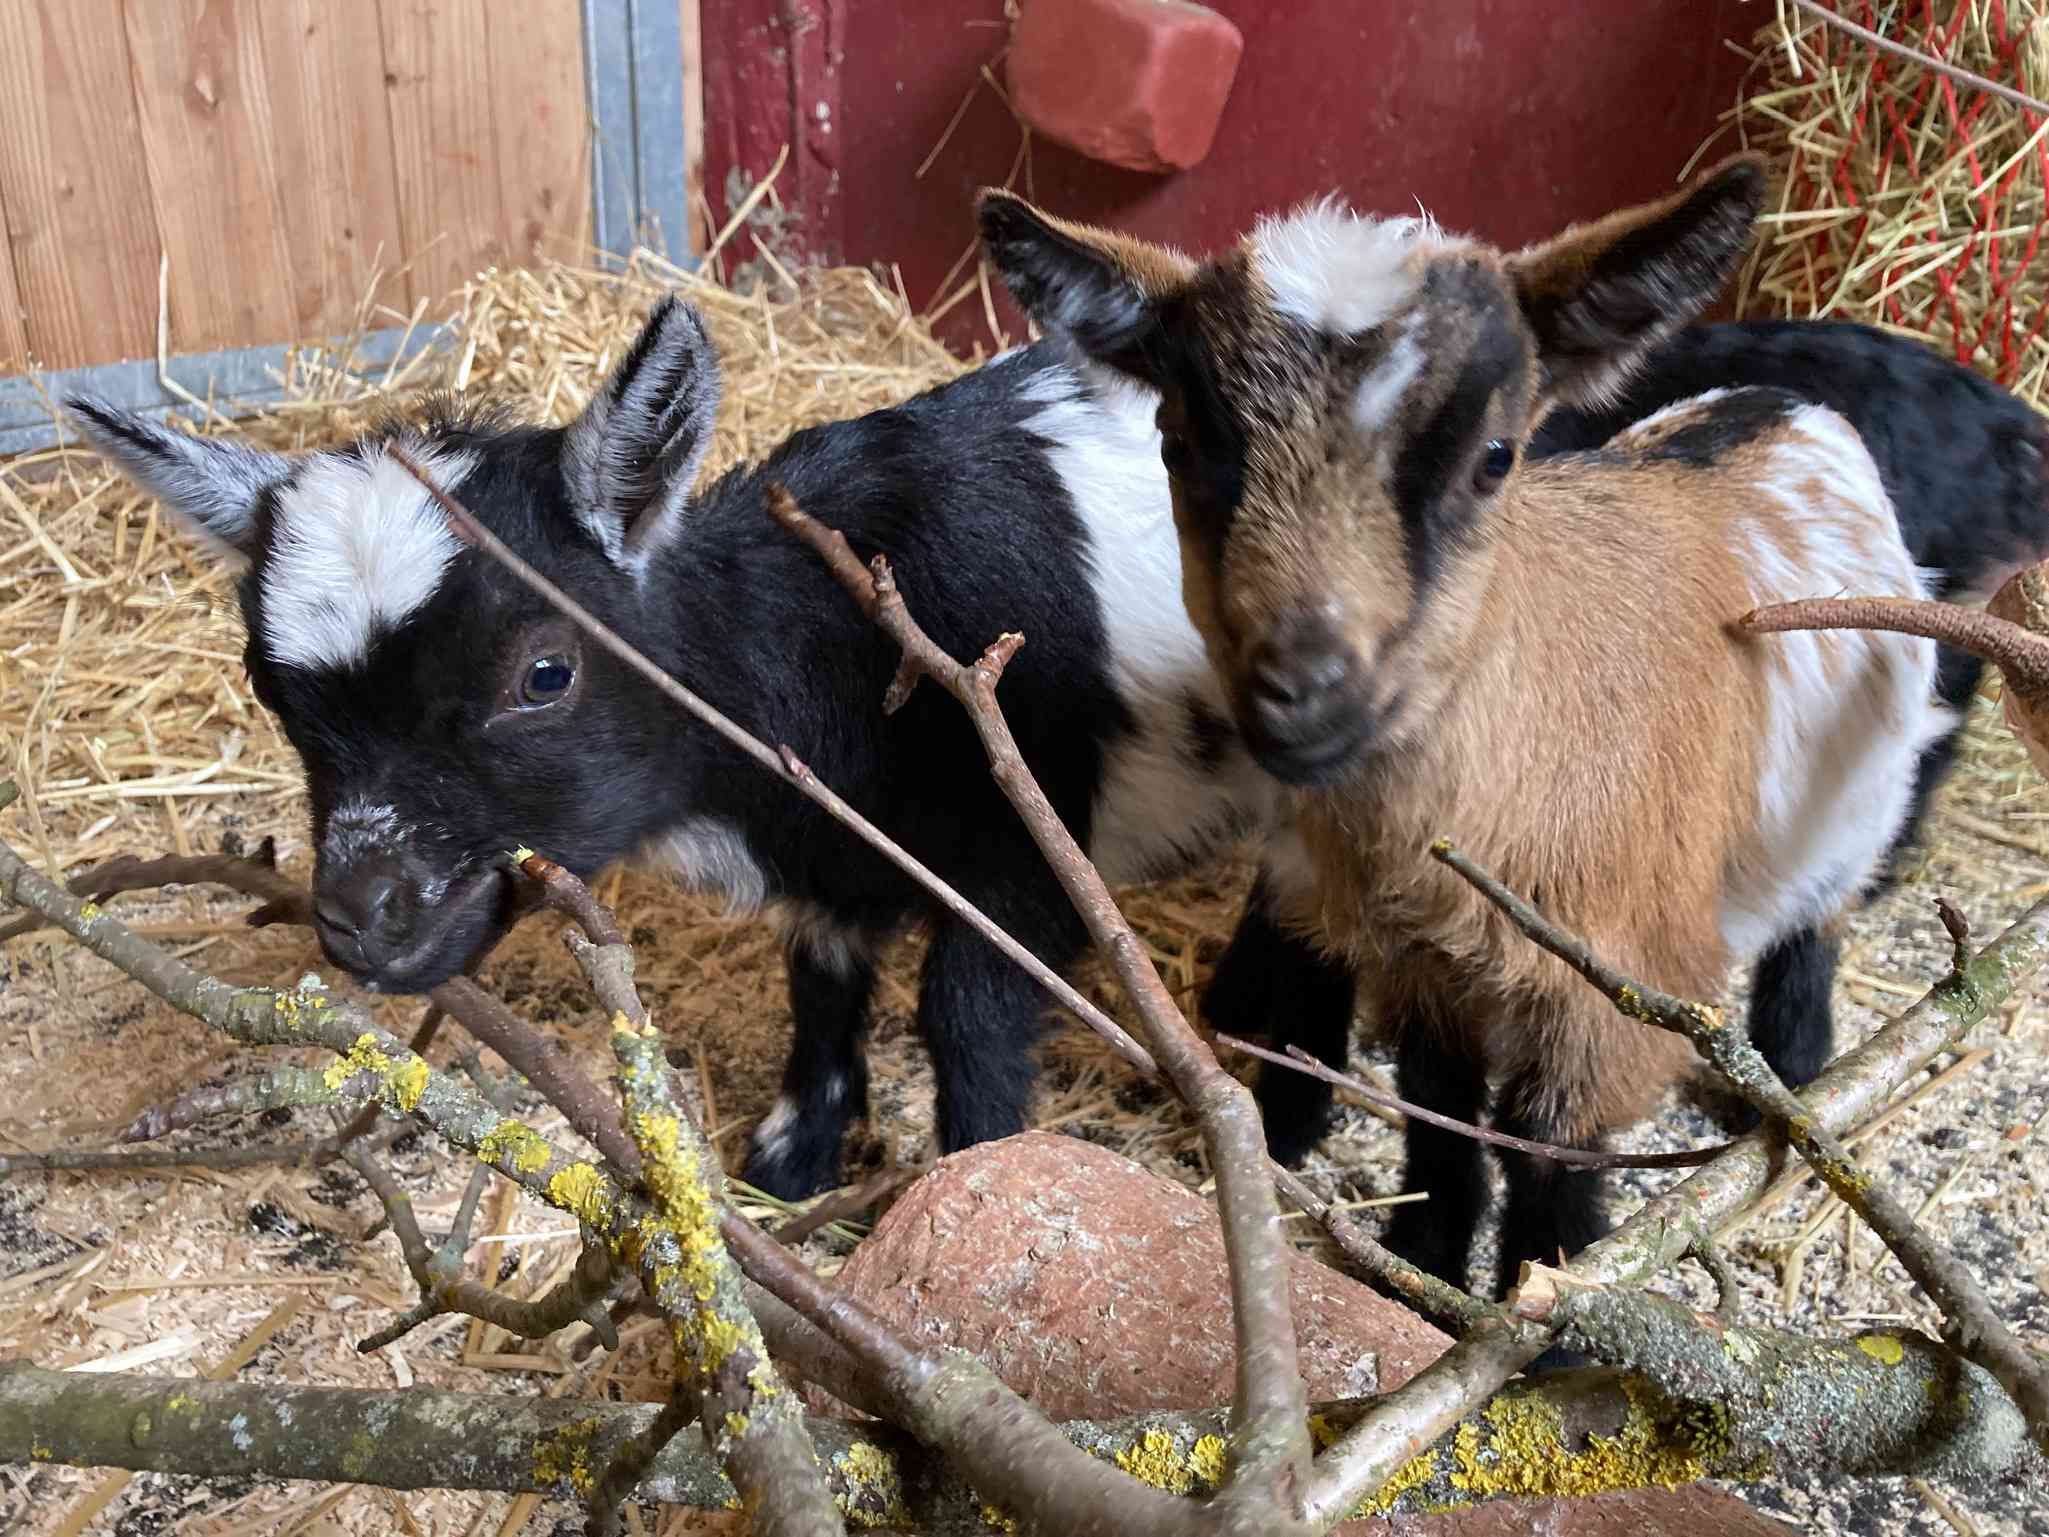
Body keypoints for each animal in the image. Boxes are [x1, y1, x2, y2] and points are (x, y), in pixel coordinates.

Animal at [978, 157, 1960, 1298]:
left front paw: (1549, 1305)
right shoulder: (1427, 968)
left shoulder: (1615, 995)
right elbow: (1440, 1119)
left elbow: (1552, 1159)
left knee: (1815, 927)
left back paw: (1796, 1071)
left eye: (1494, 455)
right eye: (1180, 445)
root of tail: (1788, 404)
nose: (1301, 690)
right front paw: (1426, 1263)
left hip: (1856, 806)